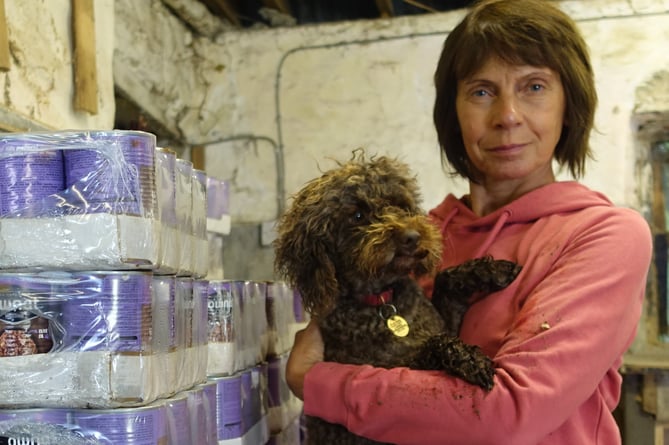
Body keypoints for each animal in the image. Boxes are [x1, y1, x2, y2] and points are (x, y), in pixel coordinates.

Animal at [274, 150, 520, 444]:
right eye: (357, 215)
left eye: (400, 205)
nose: (412, 237)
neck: (384, 302)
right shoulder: (390, 366)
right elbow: (431, 345)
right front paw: (470, 360)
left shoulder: (444, 320)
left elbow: (445, 278)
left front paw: (491, 270)